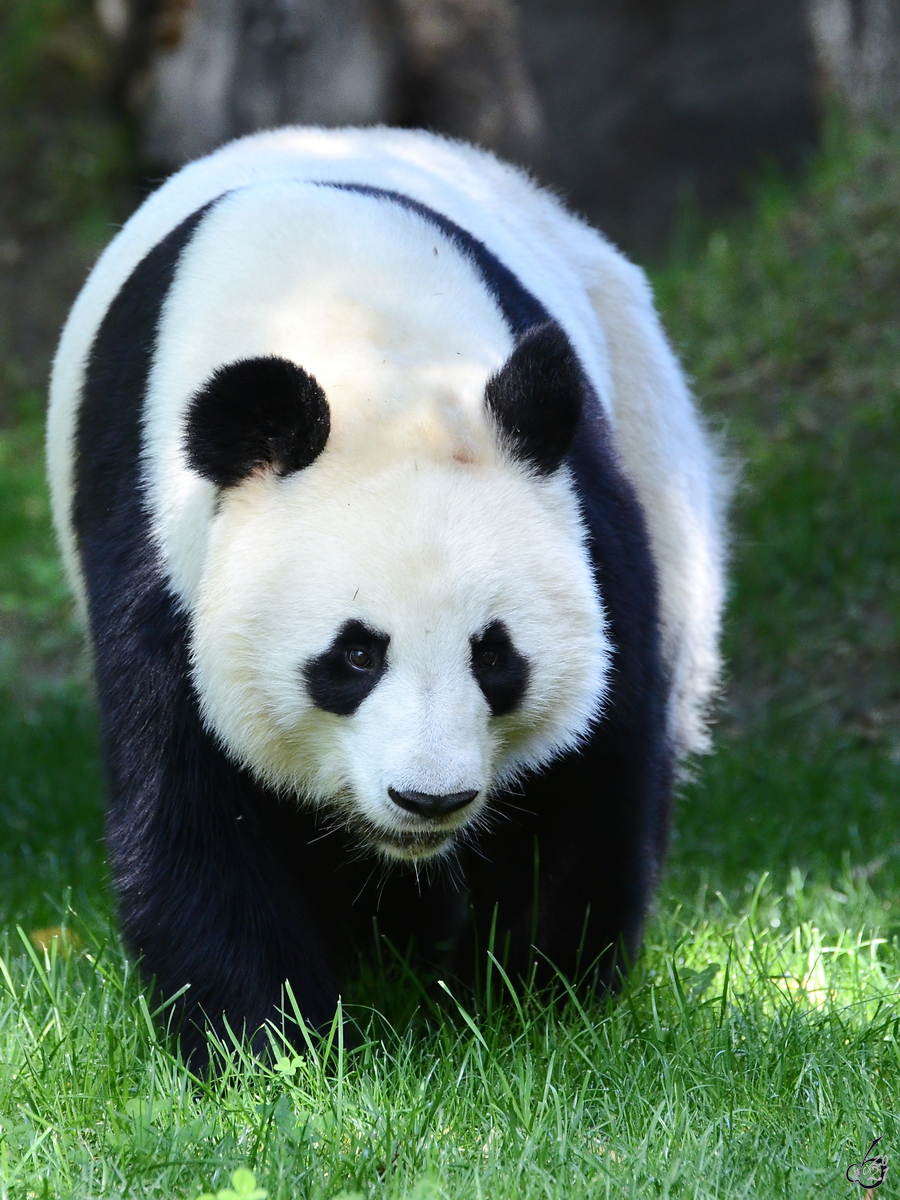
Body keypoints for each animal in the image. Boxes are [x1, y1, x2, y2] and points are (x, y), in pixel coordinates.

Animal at [47, 126, 724, 1065]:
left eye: (496, 657)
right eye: (356, 655)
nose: (428, 800)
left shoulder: (582, 506)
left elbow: (588, 768)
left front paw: (529, 1009)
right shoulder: (161, 538)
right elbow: (194, 801)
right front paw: (266, 1046)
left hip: (656, 446)